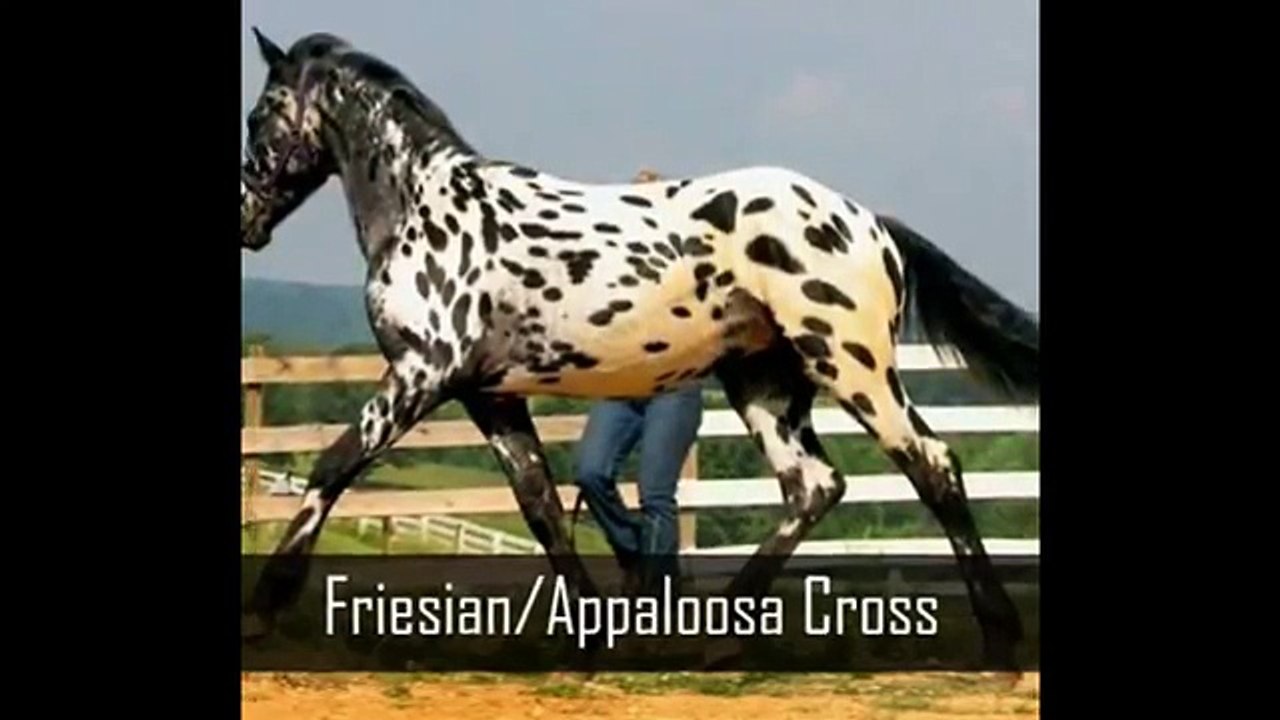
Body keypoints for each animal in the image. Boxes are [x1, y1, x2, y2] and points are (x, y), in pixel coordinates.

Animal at [239, 29, 1039, 670]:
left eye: (258, 115)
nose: (246, 222)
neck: (426, 209)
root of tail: (869, 221)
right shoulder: (488, 394)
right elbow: (541, 505)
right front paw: (588, 640)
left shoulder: (420, 373)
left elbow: (334, 466)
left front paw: (266, 606)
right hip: (765, 385)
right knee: (814, 486)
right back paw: (721, 639)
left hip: (853, 365)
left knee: (932, 467)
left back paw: (999, 639)